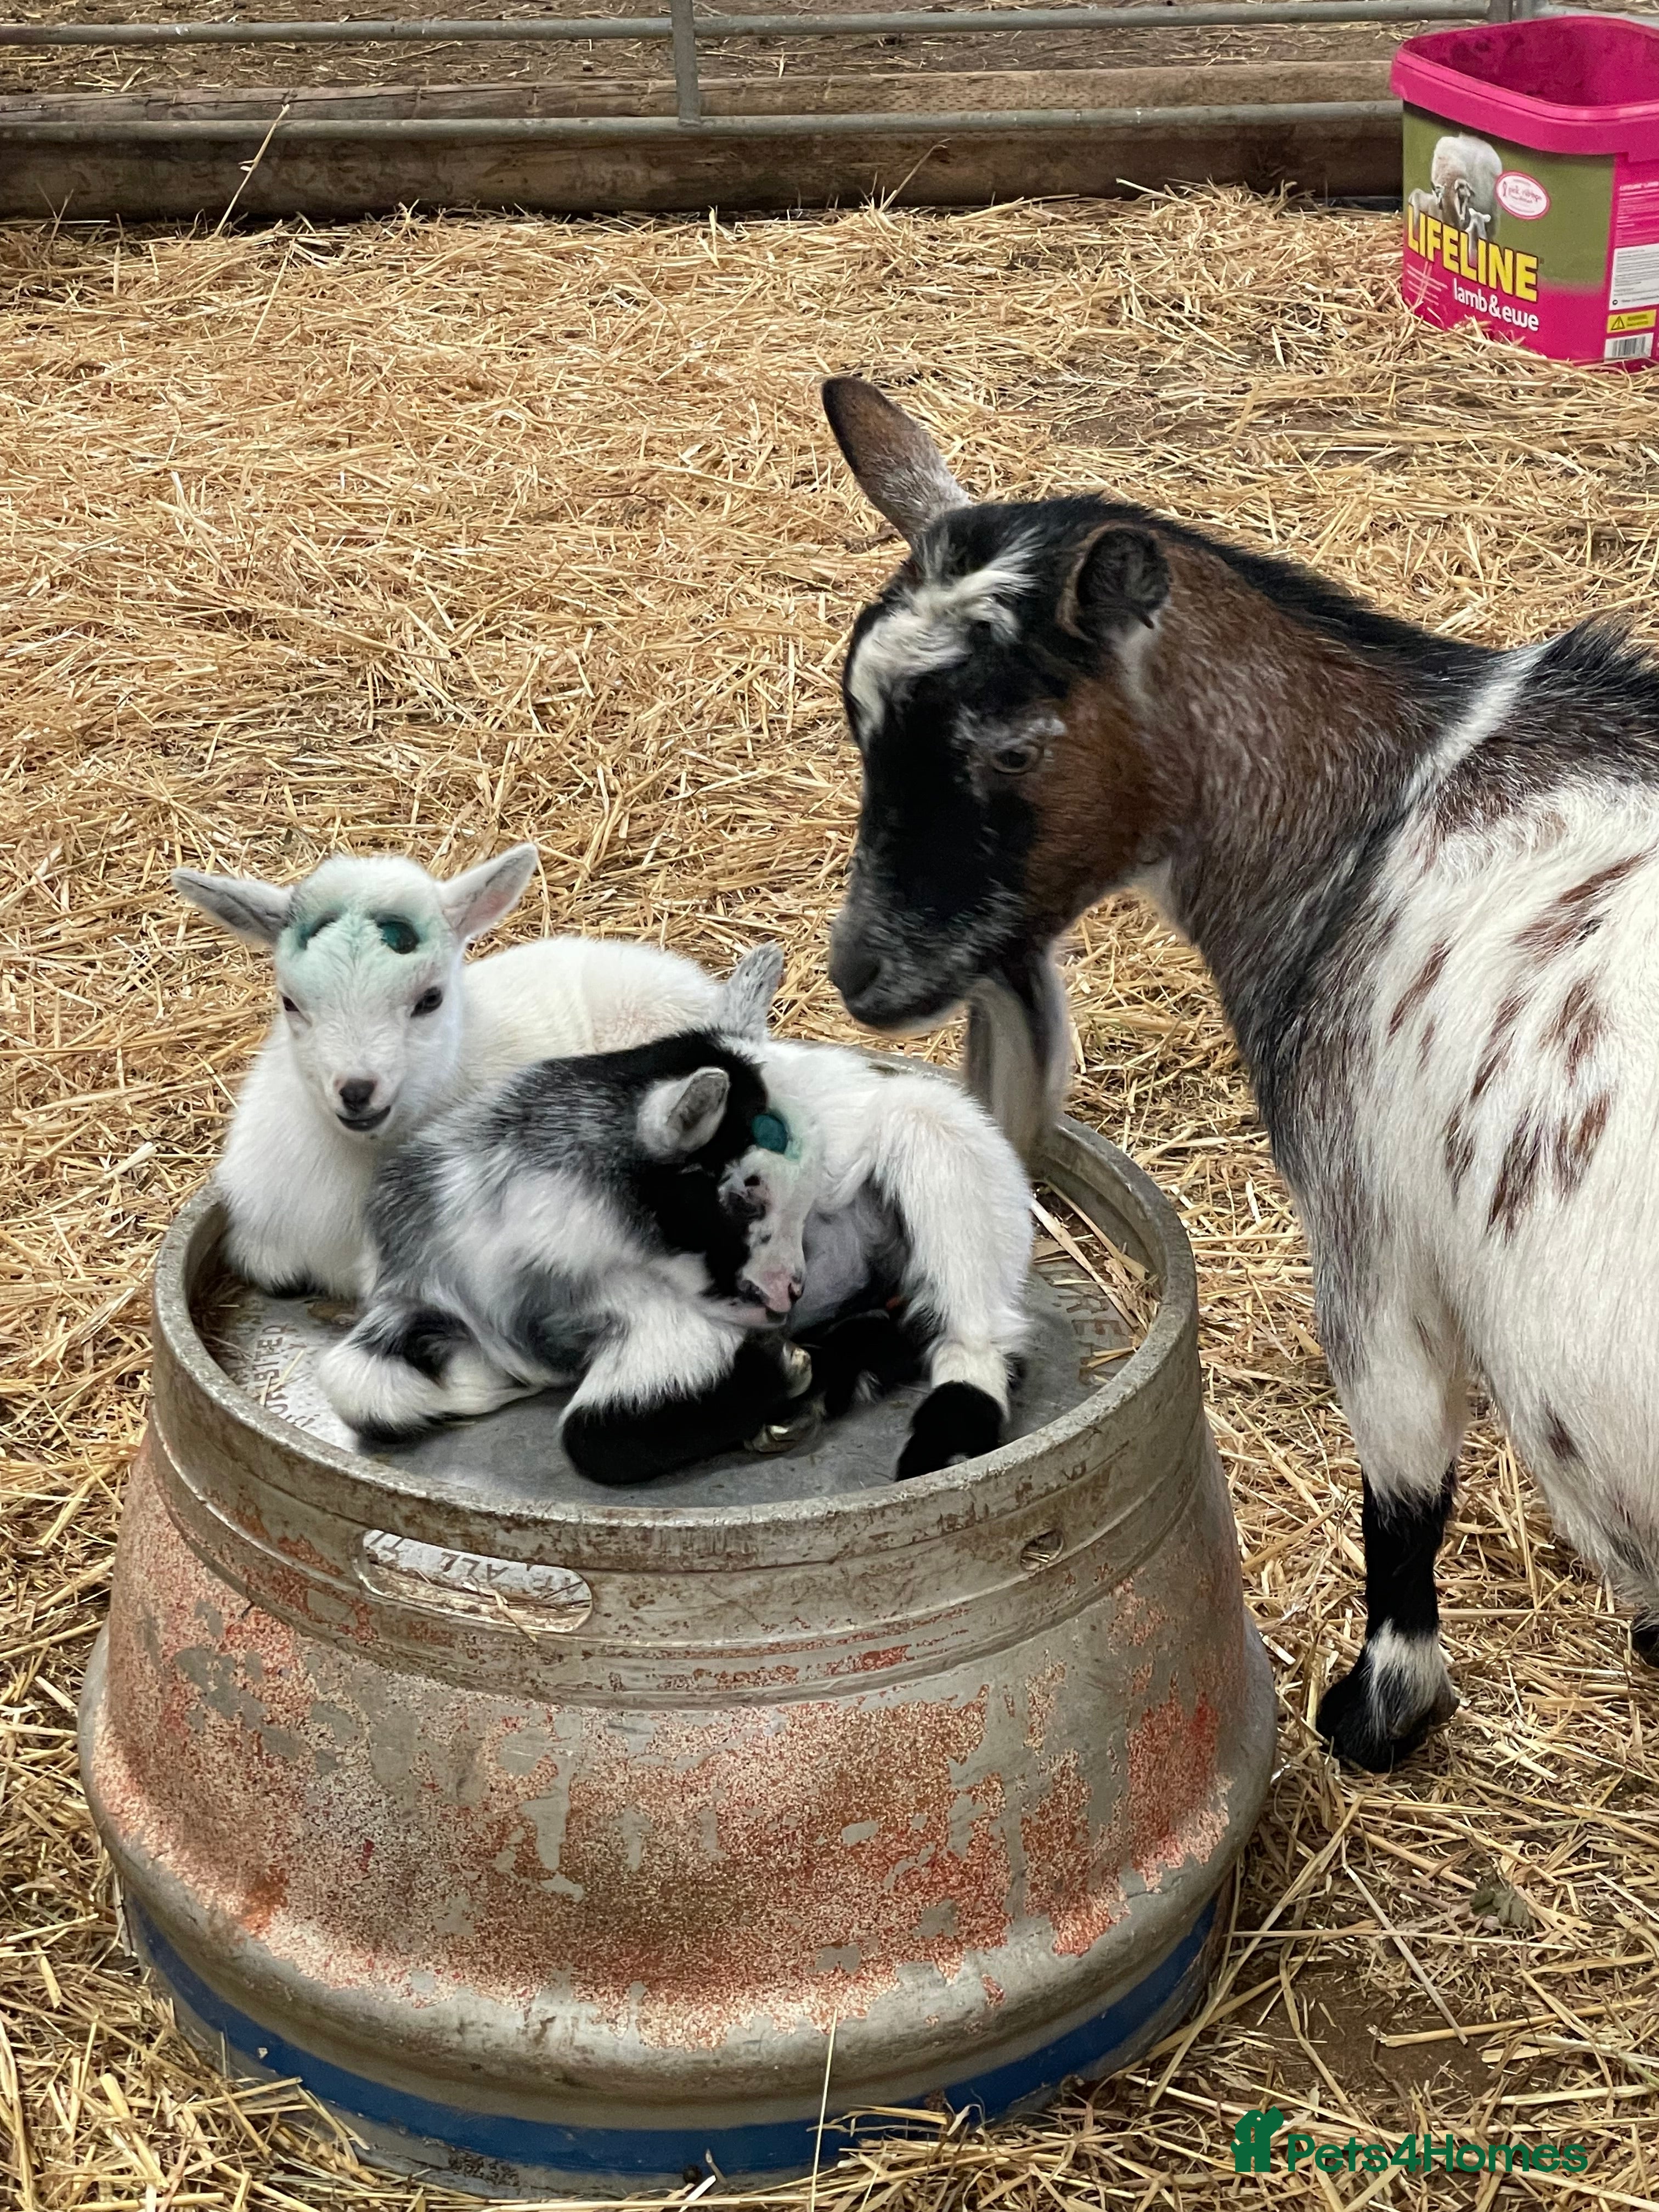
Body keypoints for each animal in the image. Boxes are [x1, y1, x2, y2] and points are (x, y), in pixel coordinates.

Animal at [819, 373, 1659, 1767]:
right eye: (857, 716)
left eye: (1014, 748)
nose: (864, 972)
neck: (1373, 822)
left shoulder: (1370, 1225)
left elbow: (1404, 1482)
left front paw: (1378, 1710)